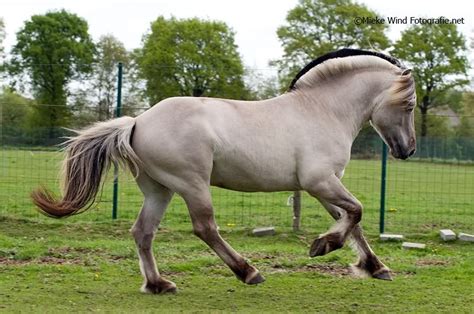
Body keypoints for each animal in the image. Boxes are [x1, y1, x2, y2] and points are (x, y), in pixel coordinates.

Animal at [32, 47, 414, 294]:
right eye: (409, 105)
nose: (407, 149)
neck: (321, 110)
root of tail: (138, 122)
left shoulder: (325, 185)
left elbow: (353, 222)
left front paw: (375, 267)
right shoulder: (319, 181)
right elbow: (356, 213)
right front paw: (323, 246)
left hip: (159, 190)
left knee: (143, 232)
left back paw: (159, 284)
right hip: (192, 185)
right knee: (205, 228)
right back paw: (248, 272)